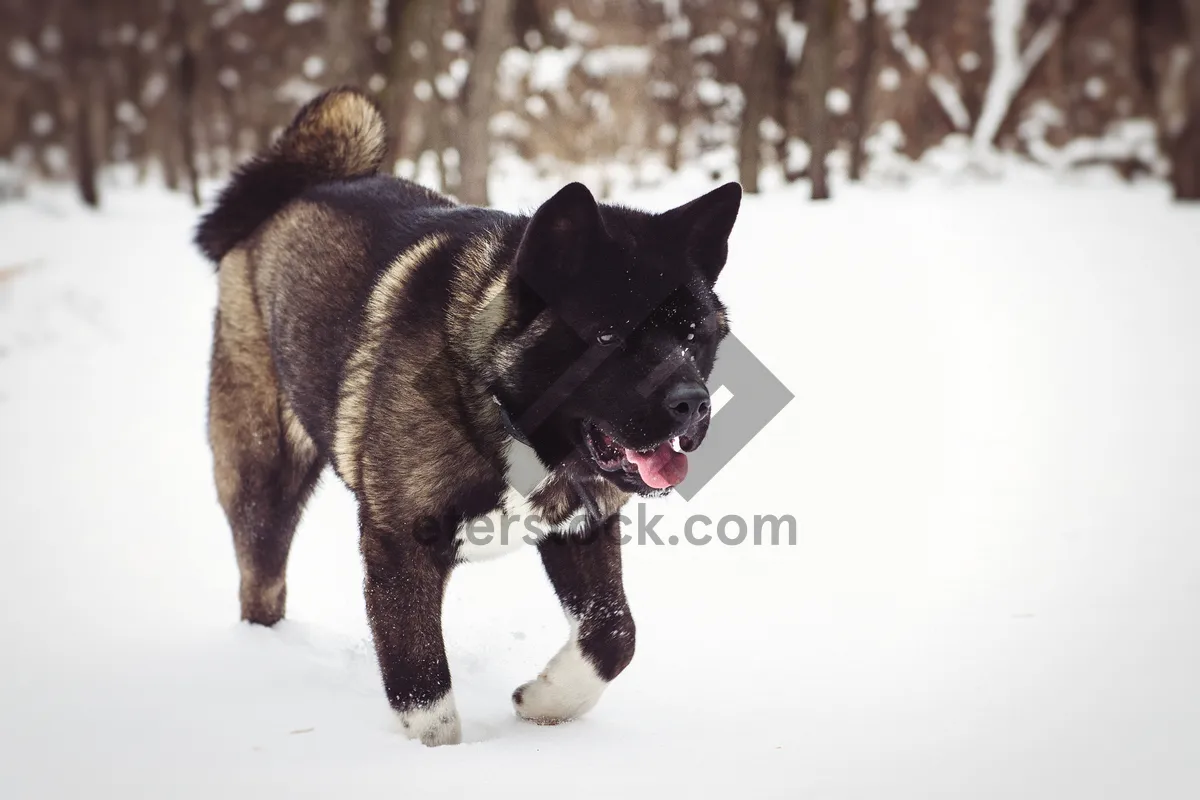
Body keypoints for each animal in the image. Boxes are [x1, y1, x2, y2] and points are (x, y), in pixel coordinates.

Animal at [194, 86, 739, 743]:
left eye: (697, 336)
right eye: (610, 337)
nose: (692, 404)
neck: (499, 405)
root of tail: (295, 190)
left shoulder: (582, 528)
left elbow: (614, 634)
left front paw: (548, 700)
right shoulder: (400, 548)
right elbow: (425, 692)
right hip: (263, 480)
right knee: (261, 581)